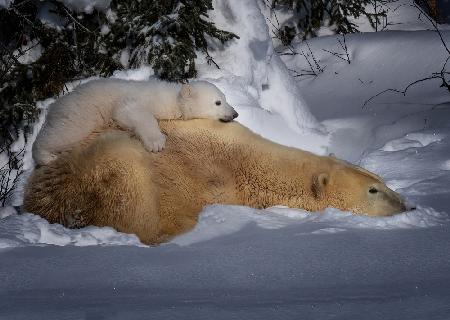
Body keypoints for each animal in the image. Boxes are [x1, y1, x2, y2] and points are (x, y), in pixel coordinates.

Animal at [31, 78, 237, 165]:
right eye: (218, 102)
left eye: (226, 98)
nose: (235, 114)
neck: (174, 98)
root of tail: (55, 104)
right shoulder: (139, 100)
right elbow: (131, 111)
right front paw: (156, 143)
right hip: (83, 112)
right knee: (66, 132)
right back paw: (46, 156)